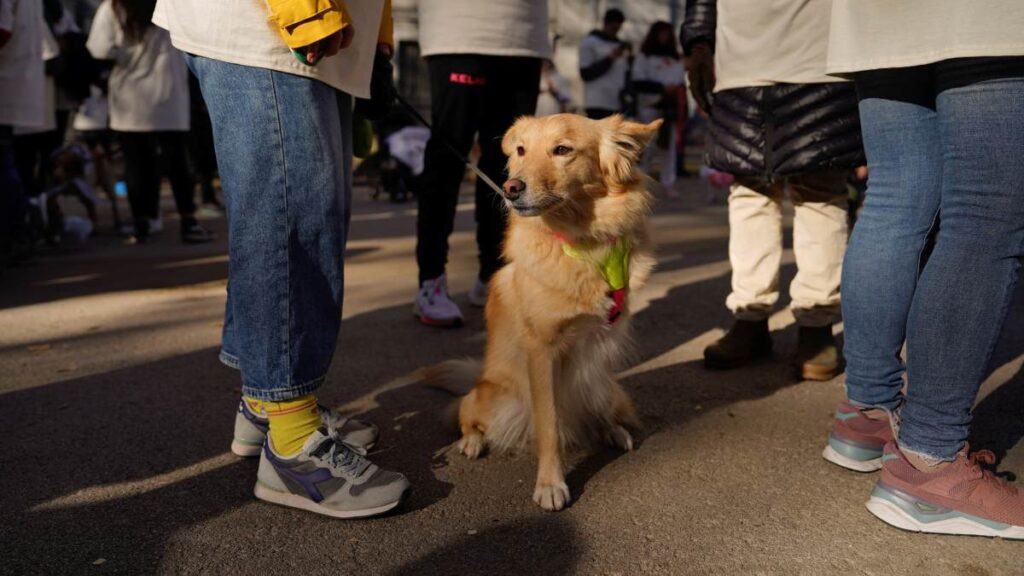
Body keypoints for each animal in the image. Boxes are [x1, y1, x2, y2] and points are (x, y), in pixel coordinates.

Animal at [428, 114, 659, 508]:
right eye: (521, 150)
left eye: (562, 150)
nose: (510, 188)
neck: (582, 244)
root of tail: (480, 375)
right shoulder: (541, 352)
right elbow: (549, 426)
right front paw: (551, 484)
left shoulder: (600, 347)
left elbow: (589, 399)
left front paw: (607, 430)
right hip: (491, 397)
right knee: (465, 415)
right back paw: (472, 440)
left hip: (610, 388)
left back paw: (612, 430)